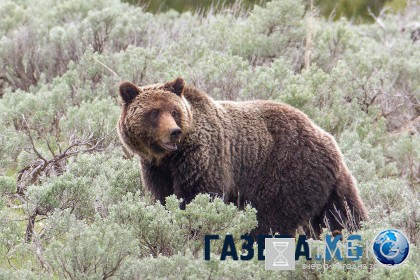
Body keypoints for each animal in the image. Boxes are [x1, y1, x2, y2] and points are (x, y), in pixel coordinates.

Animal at [118, 77, 368, 237]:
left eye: (174, 111)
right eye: (154, 112)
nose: (174, 132)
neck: (169, 158)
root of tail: (328, 139)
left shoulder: (203, 158)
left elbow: (199, 197)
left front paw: (195, 230)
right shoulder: (157, 170)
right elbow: (164, 198)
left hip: (287, 171)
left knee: (271, 219)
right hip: (328, 184)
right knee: (343, 213)